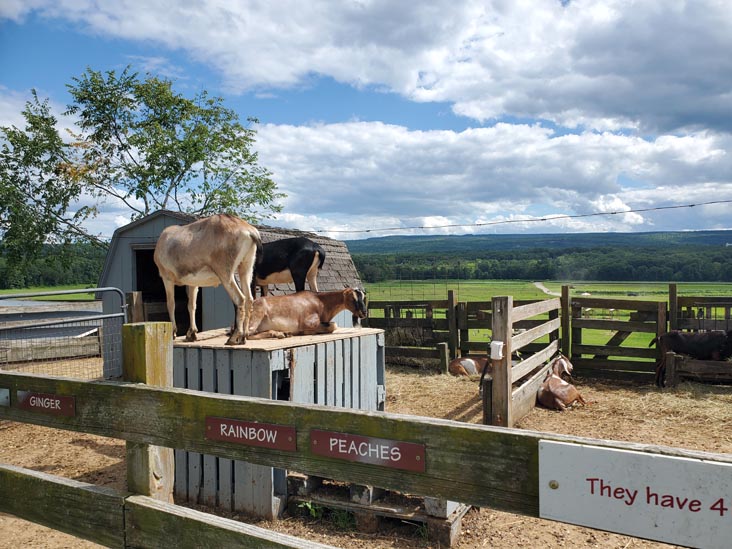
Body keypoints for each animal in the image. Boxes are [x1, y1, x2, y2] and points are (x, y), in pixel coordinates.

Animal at [154, 213, 261, 345]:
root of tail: (249, 231)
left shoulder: (167, 278)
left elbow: (171, 304)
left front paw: (173, 333)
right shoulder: (192, 283)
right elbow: (191, 305)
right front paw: (191, 334)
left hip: (225, 274)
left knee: (240, 298)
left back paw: (233, 338)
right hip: (246, 268)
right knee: (249, 299)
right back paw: (243, 337)